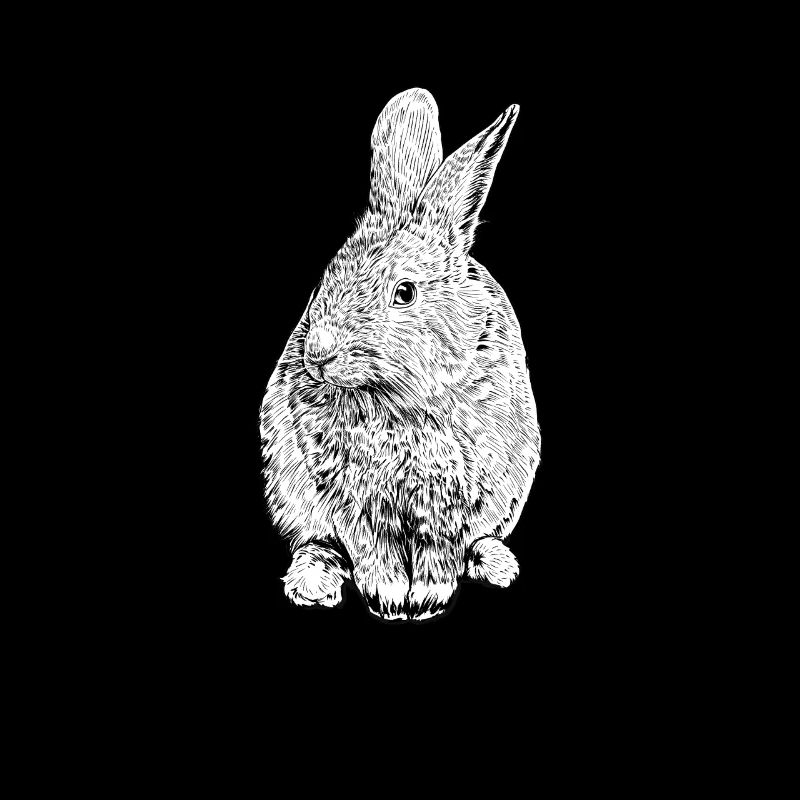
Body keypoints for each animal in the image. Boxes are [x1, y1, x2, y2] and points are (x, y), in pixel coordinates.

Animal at [260, 88, 540, 621]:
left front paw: (427, 600)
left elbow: (441, 550)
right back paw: (313, 583)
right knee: (317, 542)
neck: (402, 400)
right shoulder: (350, 498)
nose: (317, 354)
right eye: (327, 276)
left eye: (404, 293)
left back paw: (496, 565)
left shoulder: (454, 502)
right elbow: (372, 548)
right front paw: (388, 599)